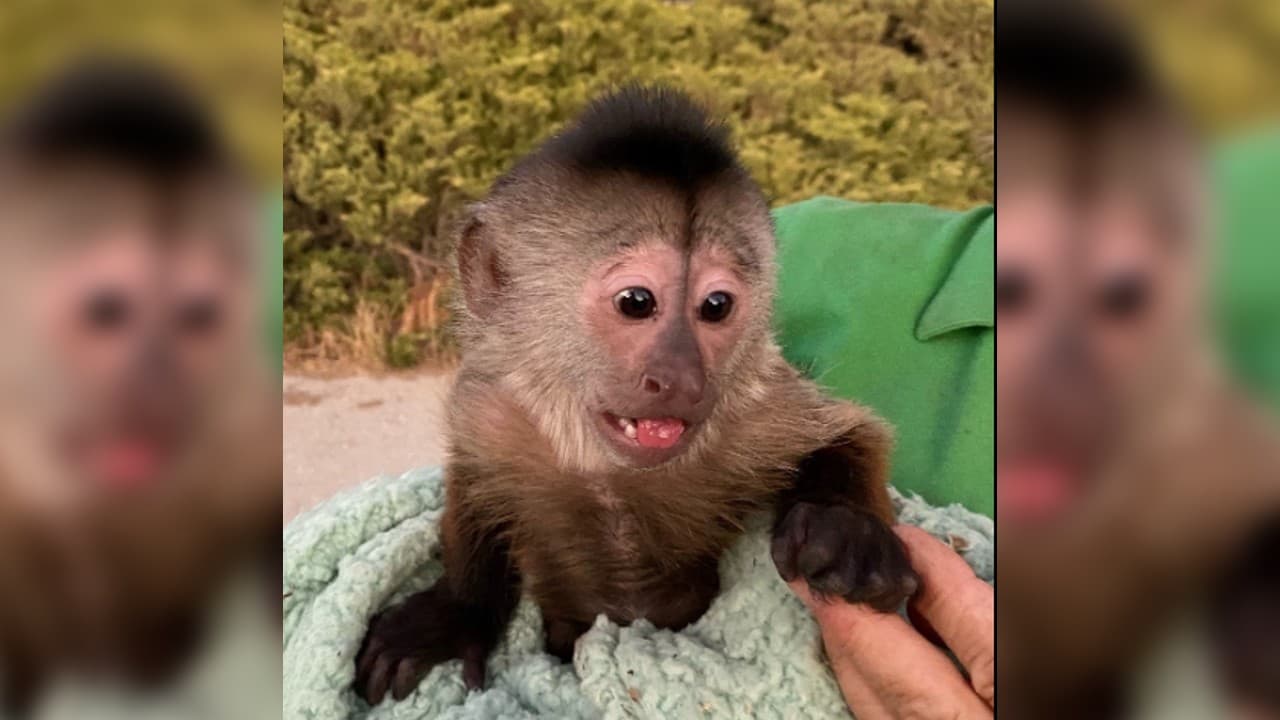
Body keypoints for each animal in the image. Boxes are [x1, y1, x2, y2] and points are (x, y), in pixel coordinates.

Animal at [353, 86, 920, 704]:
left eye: (716, 306)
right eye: (636, 302)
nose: (682, 378)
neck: (608, 469)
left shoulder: (753, 407)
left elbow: (848, 432)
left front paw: (844, 527)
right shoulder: (493, 409)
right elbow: (476, 482)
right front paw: (455, 613)